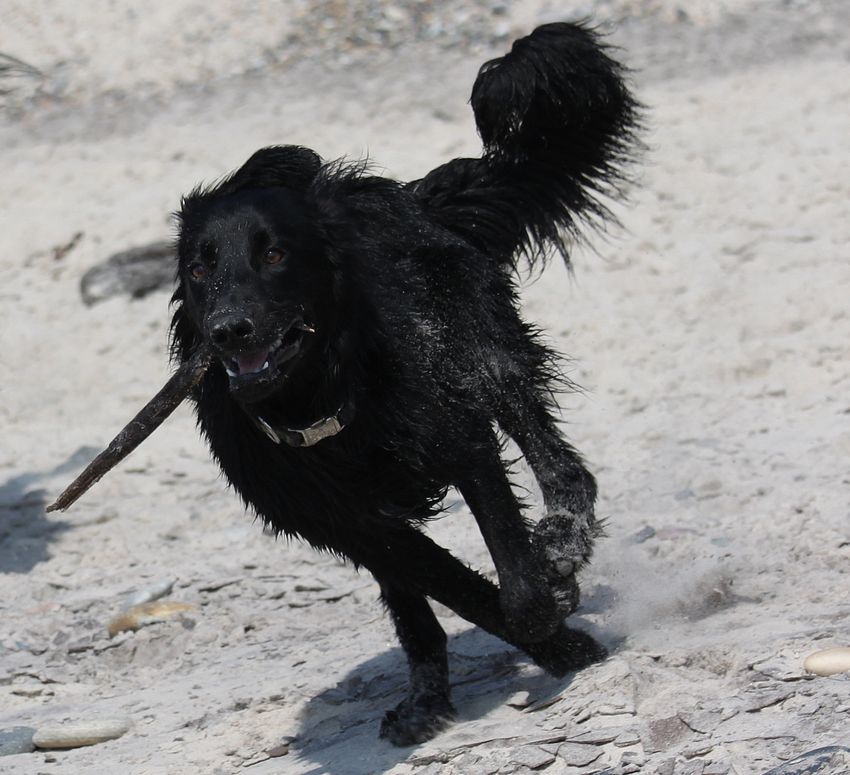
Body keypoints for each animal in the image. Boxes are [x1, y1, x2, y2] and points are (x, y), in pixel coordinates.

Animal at [170, 22, 639, 745]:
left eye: (274, 253)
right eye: (199, 268)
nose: (228, 330)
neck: (323, 396)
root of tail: (415, 196)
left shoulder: (463, 443)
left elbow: (514, 583)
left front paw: (555, 615)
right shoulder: (350, 523)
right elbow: (457, 591)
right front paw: (557, 643)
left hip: (483, 350)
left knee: (560, 464)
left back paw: (562, 537)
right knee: (413, 606)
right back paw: (427, 694)